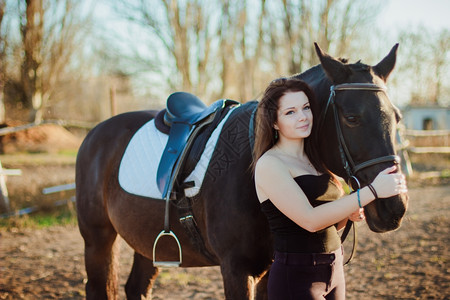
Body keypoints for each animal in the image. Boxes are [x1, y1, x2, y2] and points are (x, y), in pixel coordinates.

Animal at [76, 43, 408, 298]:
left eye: (398, 117)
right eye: (351, 118)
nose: (394, 208)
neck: (253, 164)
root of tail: (95, 134)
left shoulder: (271, 269)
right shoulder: (236, 270)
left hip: (150, 244)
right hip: (98, 240)